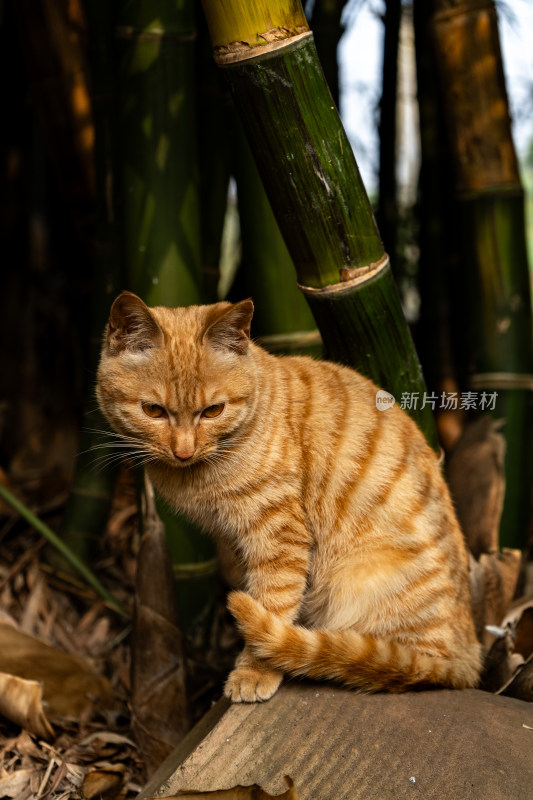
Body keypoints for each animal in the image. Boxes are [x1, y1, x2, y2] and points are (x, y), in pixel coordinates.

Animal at [96, 292, 482, 700]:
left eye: (213, 410)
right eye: (153, 410)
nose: (183, 451)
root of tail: (466, 659)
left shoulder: (279, 537)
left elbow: (273, 604)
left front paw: (254, 671)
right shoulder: (238, 542)